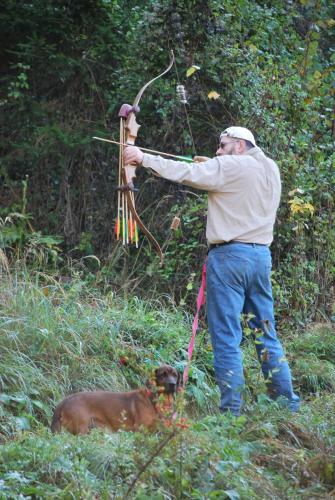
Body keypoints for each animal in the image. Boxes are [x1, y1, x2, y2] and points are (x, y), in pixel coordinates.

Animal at [50, 366, 181, 436]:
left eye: (175, 375)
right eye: (163, 375)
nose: (173, 384)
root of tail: (64, 401)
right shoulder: (140, 429)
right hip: (81, 429)